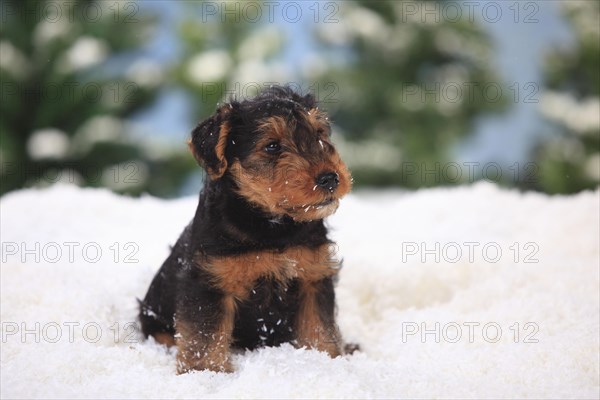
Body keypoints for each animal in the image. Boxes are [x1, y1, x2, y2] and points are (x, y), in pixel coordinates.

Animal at [139, 86, 356, 374]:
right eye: (272, 146)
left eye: (320, 134)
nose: (330, 178)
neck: (271, 226)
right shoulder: (210, 282)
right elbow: (205, 335)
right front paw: (206, 372)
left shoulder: (313, 275)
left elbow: (319, 326)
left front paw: (327, 359)